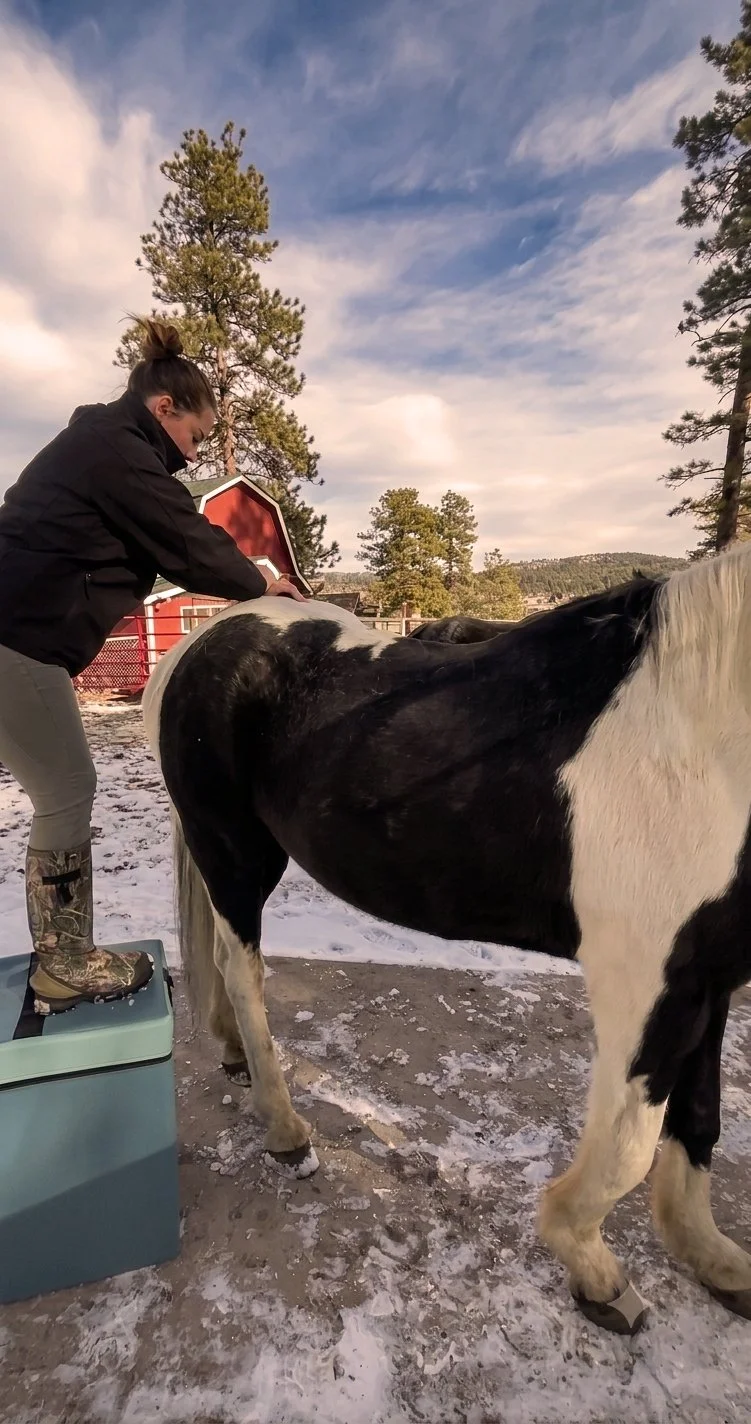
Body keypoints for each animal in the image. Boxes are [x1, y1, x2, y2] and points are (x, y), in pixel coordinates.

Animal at [142, 547, 751, 1336]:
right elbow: (627, 1147)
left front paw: (712, 1258)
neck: (702, 738)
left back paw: (236, 1058)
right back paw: (284, 1129)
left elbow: (698, 1120)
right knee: (242, 972)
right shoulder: (649, 984)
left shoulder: (709, 976)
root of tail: (201, 641)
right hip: (234, 855)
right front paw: (593, 1270)